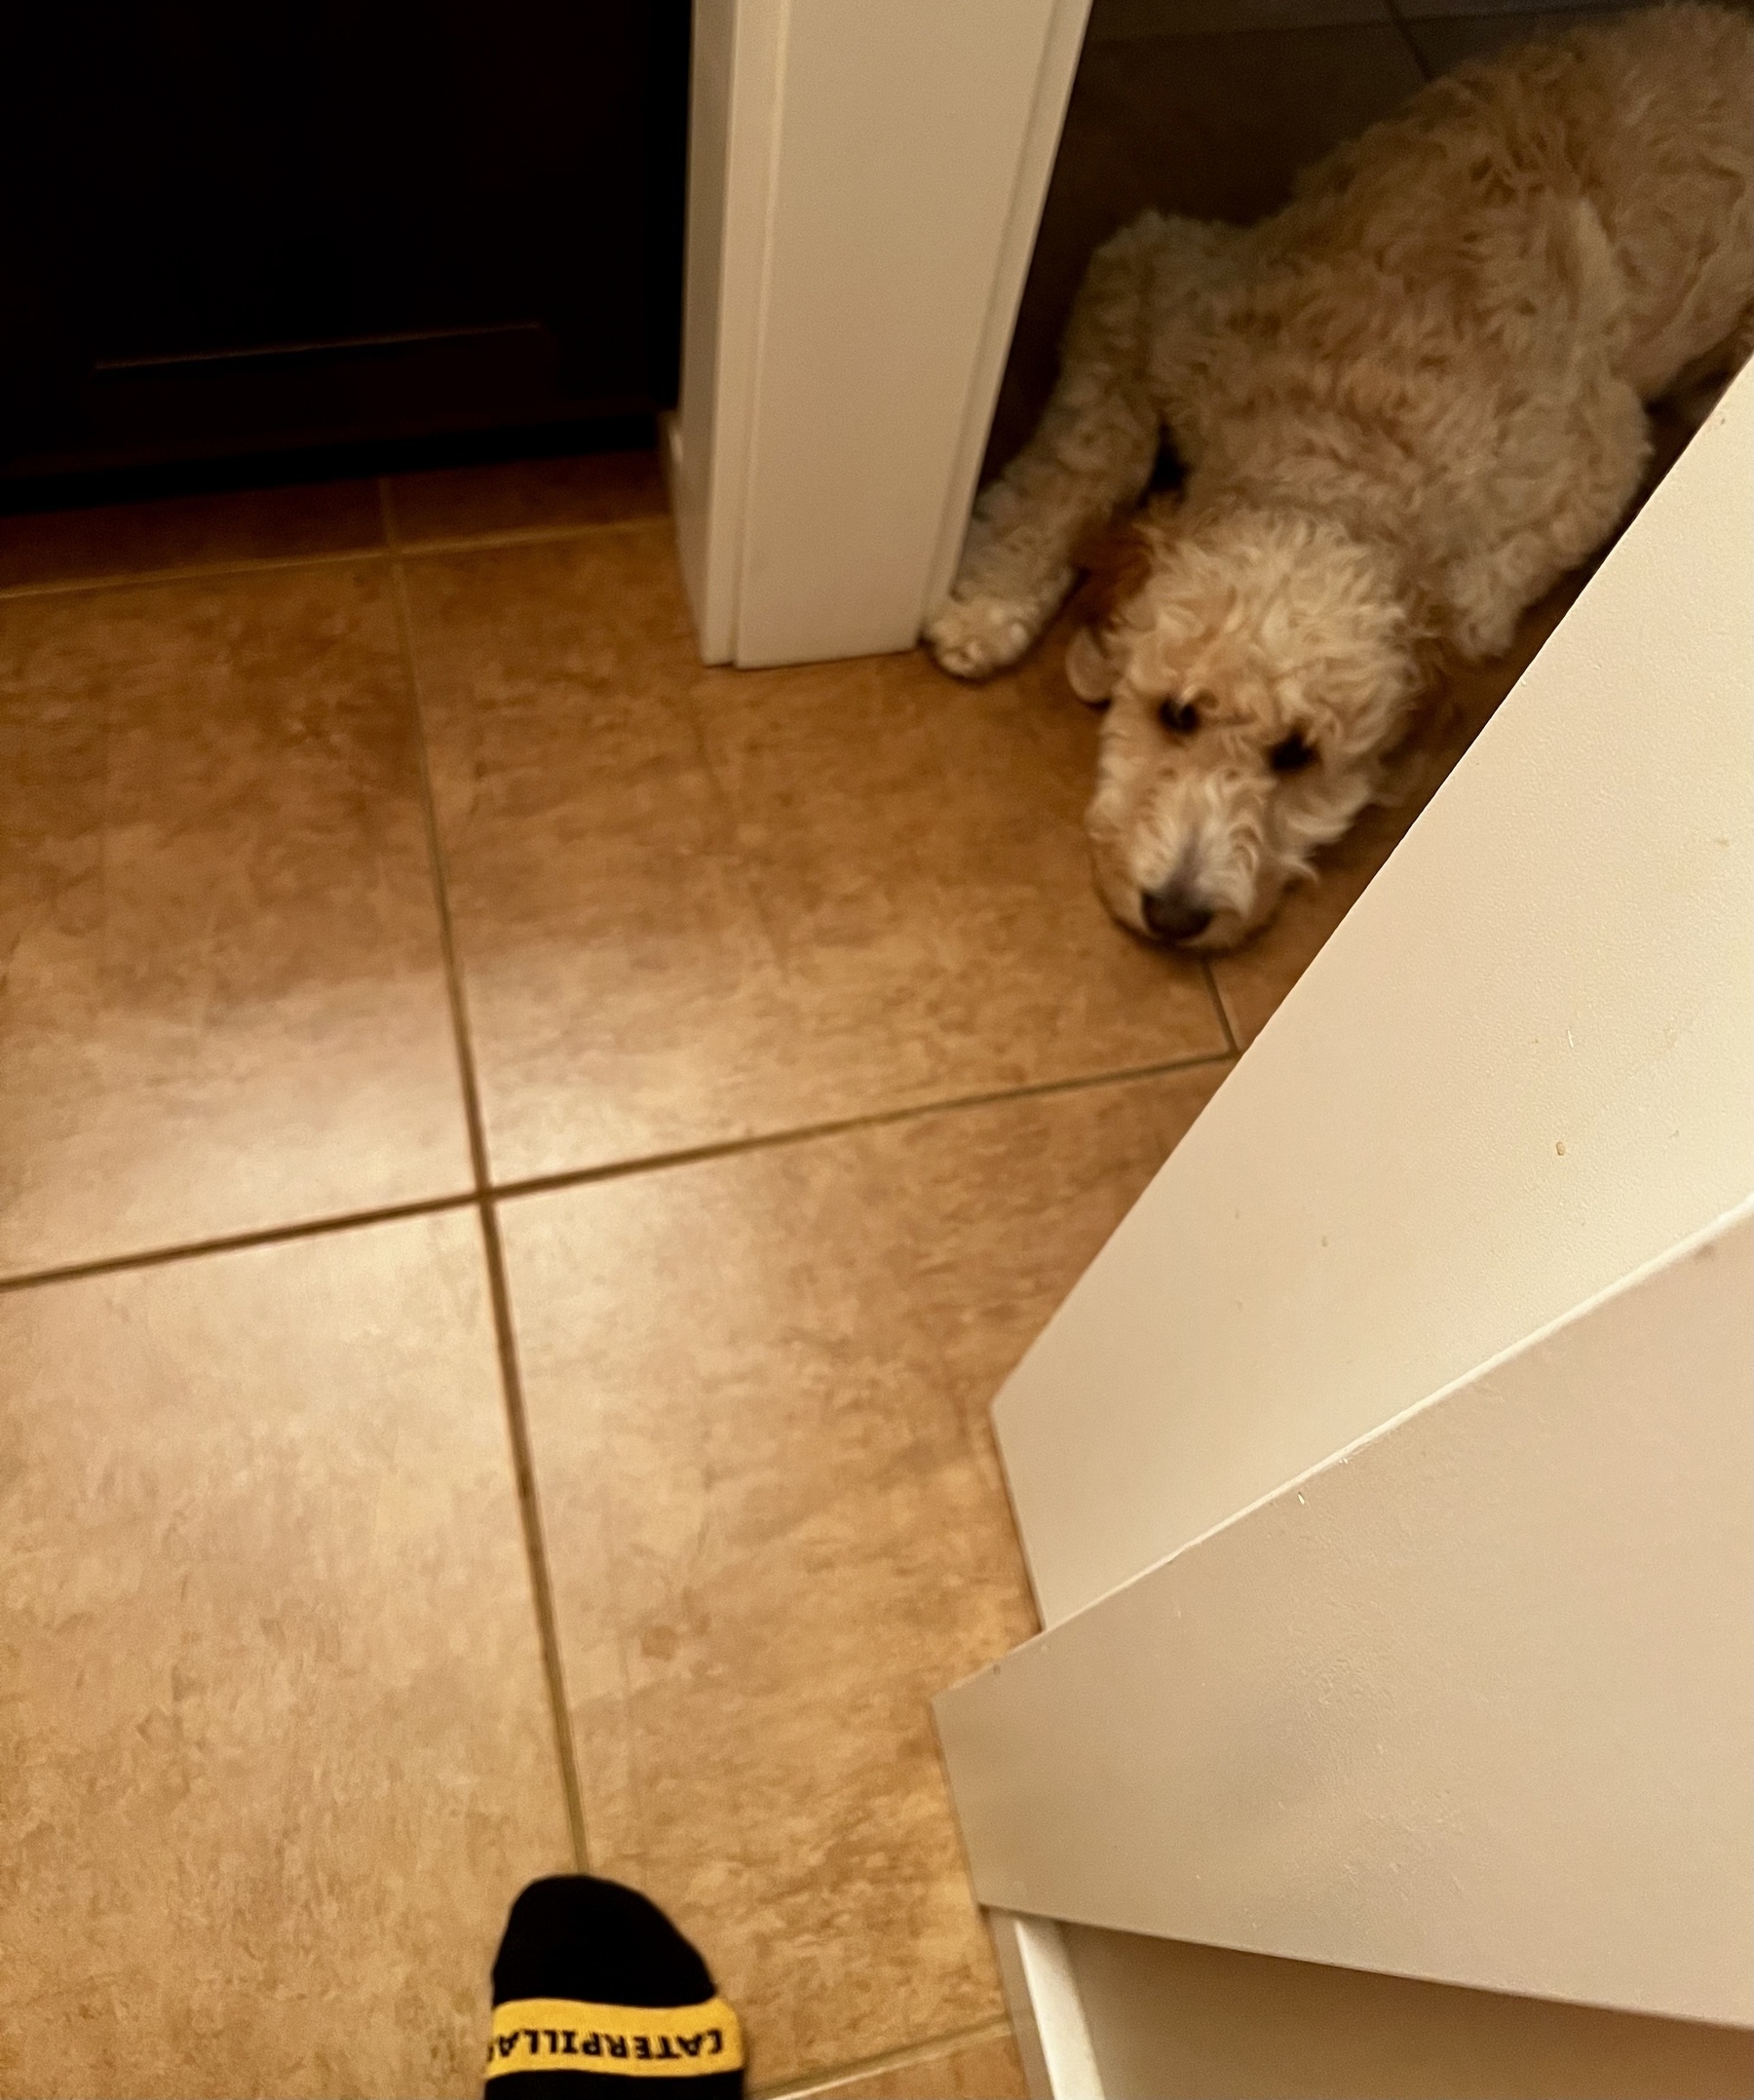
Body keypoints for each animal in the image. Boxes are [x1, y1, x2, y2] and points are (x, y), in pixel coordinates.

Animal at [924, 4, 1747, 949]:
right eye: (1177, 713)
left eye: (1297, 756)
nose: (1177, 914)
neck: (1343, 440)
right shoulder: (1155, 275)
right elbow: (1090, 448)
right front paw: (992, 596)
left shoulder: (1598, 458)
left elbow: (1474, 608)